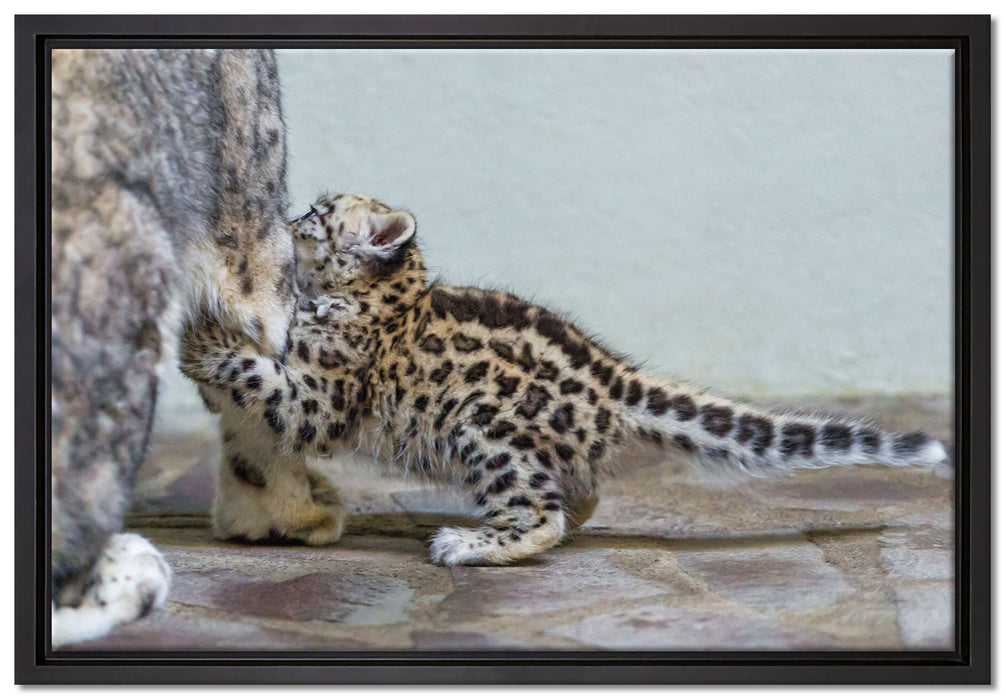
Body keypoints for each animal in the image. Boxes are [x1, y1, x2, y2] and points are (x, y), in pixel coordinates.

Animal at [180, 193, 949, 567]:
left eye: (317, 215)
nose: (286, 219)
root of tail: (615, 379)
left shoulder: (319, 396)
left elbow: (263, 379)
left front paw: (200, 337)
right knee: (578, 496)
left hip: (485, 431)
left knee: (543, 514)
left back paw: (468, 544)